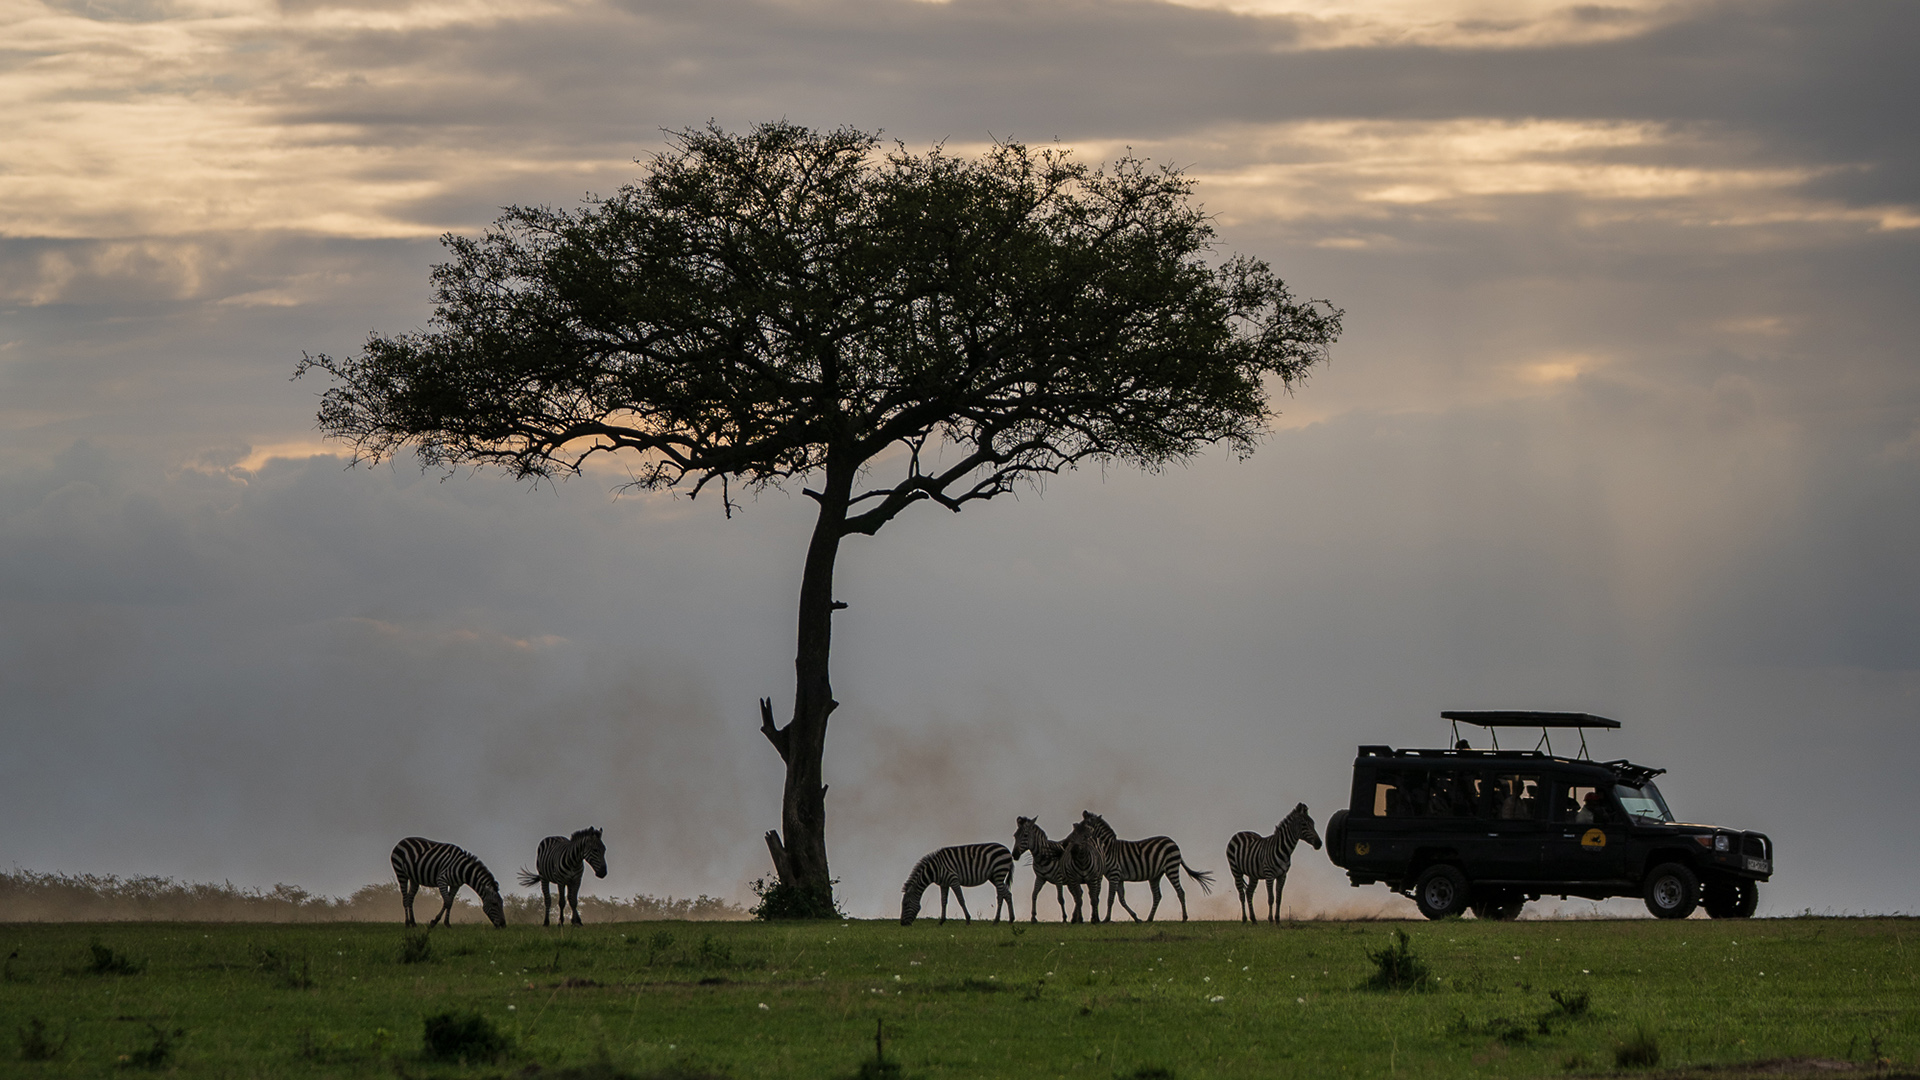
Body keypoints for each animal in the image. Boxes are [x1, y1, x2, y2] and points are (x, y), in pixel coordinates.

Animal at [1076, 810, 1216, 922]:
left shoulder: (1114, 875)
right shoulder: (1119, 878)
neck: (1107, 849)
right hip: (1155, 875)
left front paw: (1106, 919)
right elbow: (1121, 899)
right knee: (1157, 896)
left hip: (1171, 868)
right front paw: (1136, 917)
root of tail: (1173, 842)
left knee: (1180, 892)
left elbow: (1111, 898)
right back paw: (1149, 918)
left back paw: (1184, 918)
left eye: (1084, 825)